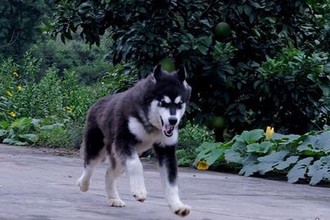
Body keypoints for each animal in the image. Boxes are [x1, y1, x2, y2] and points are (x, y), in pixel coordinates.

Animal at [77, 65, 191, 217]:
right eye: (163, 103)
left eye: (179, 104)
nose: (173, 121)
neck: (152, 124)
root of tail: (98, 102)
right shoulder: (124, 141)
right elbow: (136, 165)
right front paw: (139, 191)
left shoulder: (166, 150)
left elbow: (171, 183)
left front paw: (177, 205)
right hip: (98, 148)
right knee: (89, 166)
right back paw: (83, 184)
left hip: (119, 159)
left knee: (109, 174)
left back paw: (114, 199)